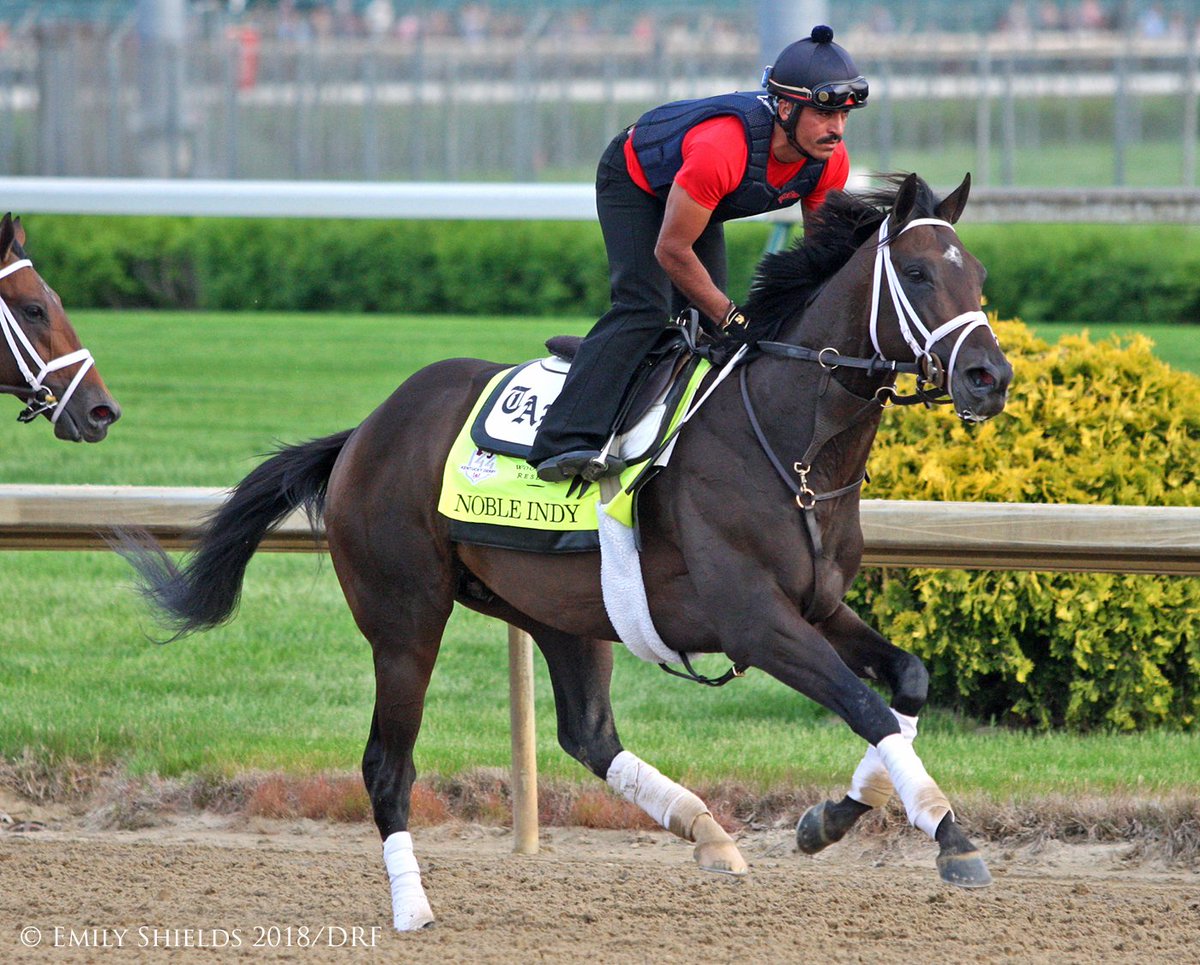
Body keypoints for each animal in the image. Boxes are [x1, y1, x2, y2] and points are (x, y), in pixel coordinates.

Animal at [118, 172, 1012, 931]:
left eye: (978, 275)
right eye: (920, 274)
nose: (988, 376)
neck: (790, 442)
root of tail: (365, 432)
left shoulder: (817, 605)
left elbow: (906, 682)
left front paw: (831, 817)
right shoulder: (755, 620)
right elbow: (864, 704)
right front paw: (949, 833)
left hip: (563, 611)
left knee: (588, 735)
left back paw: (707, 831)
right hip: (404, 619)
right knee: (386, 763)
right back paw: (414, 906)